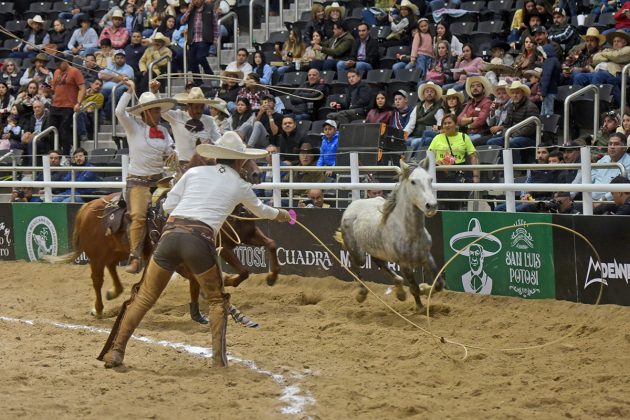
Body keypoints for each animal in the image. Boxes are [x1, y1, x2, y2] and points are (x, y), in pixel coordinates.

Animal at [340, 159, 444, 310]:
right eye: (413, 181)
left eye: (430, 179)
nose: (431, 206)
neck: (411, 234)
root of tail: (351, 206)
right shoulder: (405, 265)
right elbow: (414, 288)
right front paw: (420, 307)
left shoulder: (427, 257)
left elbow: (439, 284)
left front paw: (425, 289)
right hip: (358, 254)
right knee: (353, 262)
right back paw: (362, 294)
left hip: (376, 250)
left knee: (379, 262)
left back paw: (400, 291)